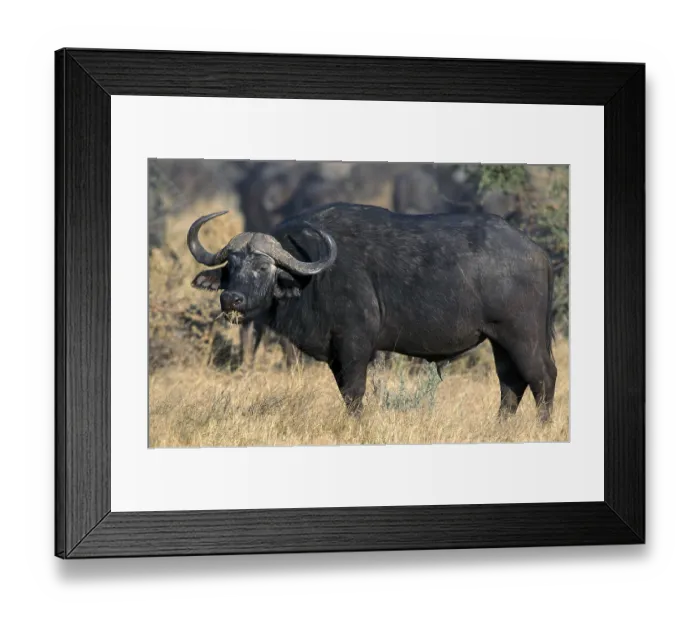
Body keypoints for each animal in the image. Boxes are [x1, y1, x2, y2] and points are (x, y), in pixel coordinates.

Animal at [187, 203, 557, 421]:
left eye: (263, 267)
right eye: (231, 265)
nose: (231, 299)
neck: (314, 277)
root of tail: (538, 252)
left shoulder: (355, 346)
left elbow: (355, 394)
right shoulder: (335, 355)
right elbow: (345, 395)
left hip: (523, 336)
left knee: (542, 378)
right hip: (499, 340)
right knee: (511, 384)